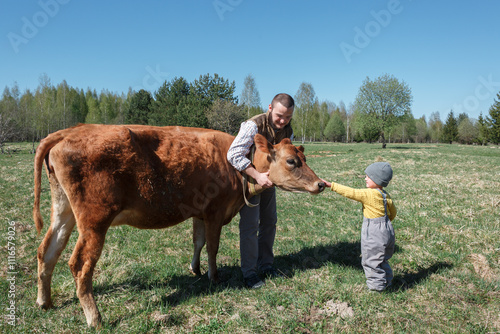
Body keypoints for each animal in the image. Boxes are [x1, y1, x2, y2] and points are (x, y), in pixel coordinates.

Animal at [33, 122, 326, 326]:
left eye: (304, 158)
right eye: (292, 161)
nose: (320, 184)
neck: (238, 166)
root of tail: (67, 132)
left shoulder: (199, 213)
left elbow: (198, 242)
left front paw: (195, 270)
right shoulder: (214, 212)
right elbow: (212, 246)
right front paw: (214, 277)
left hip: (63, 211)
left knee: (47, 251)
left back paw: (44, 301)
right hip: (94, 222)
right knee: (79, 264)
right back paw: (94, 318)